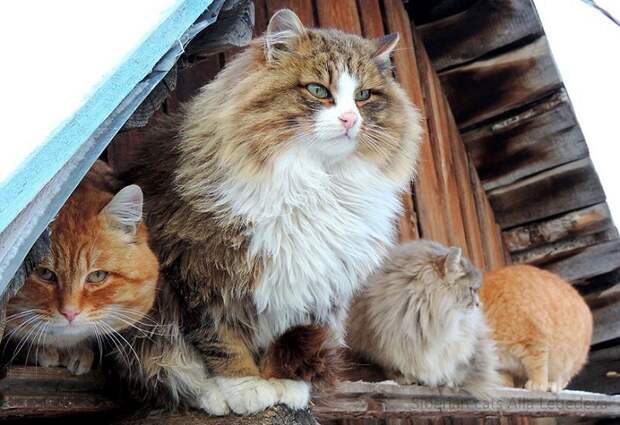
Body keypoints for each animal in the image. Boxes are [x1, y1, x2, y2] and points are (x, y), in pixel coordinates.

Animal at [121, 8, 422, 412]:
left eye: (363, 96)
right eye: (318, 90)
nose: (349, 120)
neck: (317, 184)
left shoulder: (312, 294)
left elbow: (288, 342)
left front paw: (283, 383)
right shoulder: (199, 273)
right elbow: (220, 341)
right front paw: (245, 387)